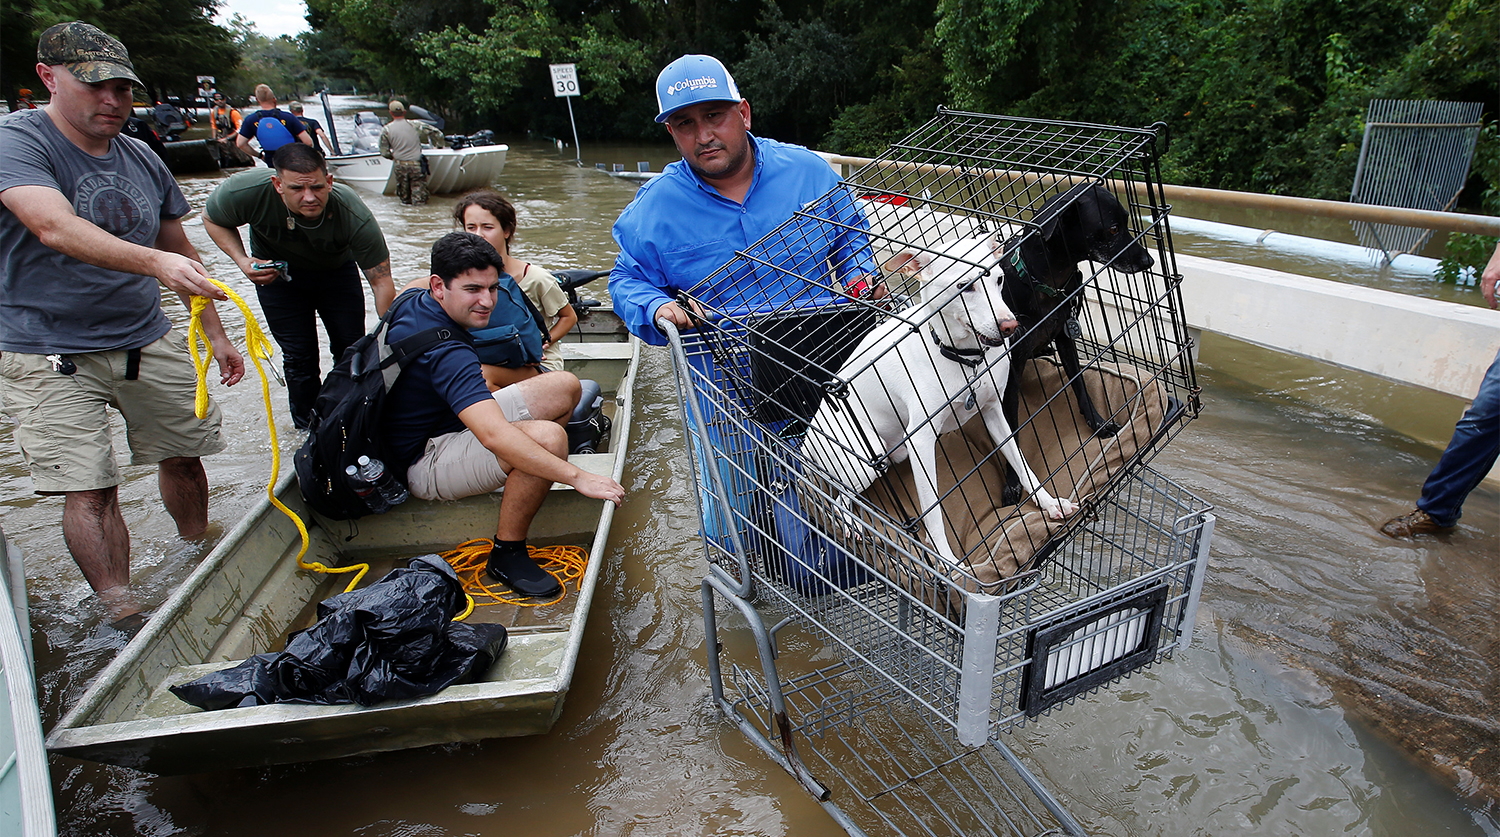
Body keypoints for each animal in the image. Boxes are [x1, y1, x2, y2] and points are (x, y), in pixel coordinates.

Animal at [804, 232, 1074, 573]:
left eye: (998, 279)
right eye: (964, 286)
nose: (1010, 326)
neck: (964, 360)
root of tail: (805, 441)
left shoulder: (995, 414)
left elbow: (1022, 465)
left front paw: (1049, 504)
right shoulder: (920, 442)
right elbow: (932, 509)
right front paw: (946, 559)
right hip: (867, 458)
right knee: (836, 498)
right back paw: (849, 521)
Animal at [1002, 183, 1152, 504]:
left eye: (1127, 220)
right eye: (1112, 229)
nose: (1149, 262)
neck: (1047, 283)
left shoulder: (1065, 338)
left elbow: (1081, 385)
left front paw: (1098, 423)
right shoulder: (1010, 371)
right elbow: (1010, 431)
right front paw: (1012, 482)